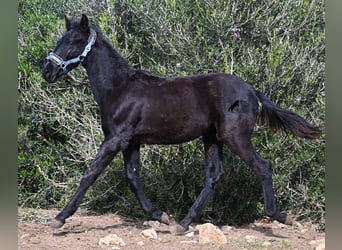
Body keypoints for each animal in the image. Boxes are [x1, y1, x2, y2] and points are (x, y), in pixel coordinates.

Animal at [42, 14, 320, 233]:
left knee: (263, 166)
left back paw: (280, 215)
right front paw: (161, 216)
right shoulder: (131, 142)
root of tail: (251, 90)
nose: (47, 72)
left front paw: (59, 219)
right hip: (212, 137)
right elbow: (133, 178)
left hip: (235, 136)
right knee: (214, 175)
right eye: (60, 40)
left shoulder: (115, 139)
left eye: (74, 41)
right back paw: (183, 223)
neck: (119, 88)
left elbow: (90, 174)